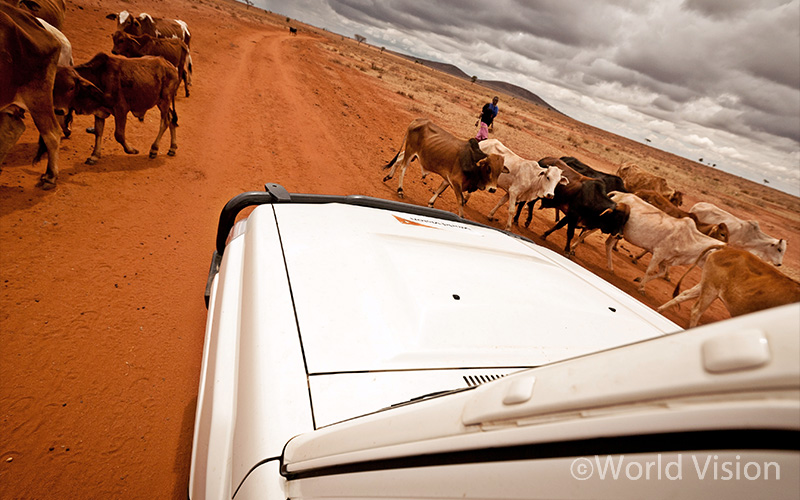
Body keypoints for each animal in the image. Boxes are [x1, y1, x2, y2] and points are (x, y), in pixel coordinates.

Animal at [52, 53, 180, 166]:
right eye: (53, 88)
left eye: (71, 87)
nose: (58, 110)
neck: (99, 76)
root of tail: (171, 66)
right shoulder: (99, 112)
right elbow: (98, 132)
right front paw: (94, 156)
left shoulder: (121, 110)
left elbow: (119, 135)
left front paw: (131, 150)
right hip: (163, 103)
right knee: (171, 119)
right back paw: (172, 148)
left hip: (164, 101)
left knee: (165, 122)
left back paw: (154, 149)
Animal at [656, 247, 800, 328]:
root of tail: (726, 249)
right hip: (711, 290)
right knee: (696, 311)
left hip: (705, 284)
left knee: (683, 294)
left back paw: (659, 310)